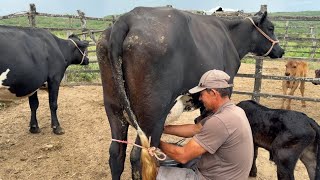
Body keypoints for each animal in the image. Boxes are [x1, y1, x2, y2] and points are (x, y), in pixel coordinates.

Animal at [96, 6, 284, 179]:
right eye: (271, 27)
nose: (281, 51)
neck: (230, 35)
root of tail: (127, 18)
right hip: (152, 115)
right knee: (140, 156)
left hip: (114, 108)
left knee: (116, 153)